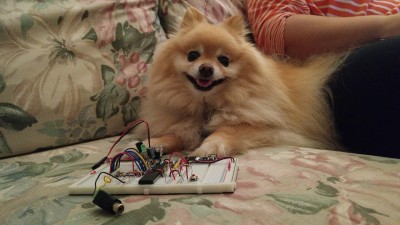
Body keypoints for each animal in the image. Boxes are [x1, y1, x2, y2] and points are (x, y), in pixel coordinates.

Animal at [134, 7, 340, 156]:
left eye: (224, 60)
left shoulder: (264, 127)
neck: (206, 106)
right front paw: (153, 143)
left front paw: (209, 147)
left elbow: (227, 131)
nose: (206, 68)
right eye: (192, 55)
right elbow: (176, 133)